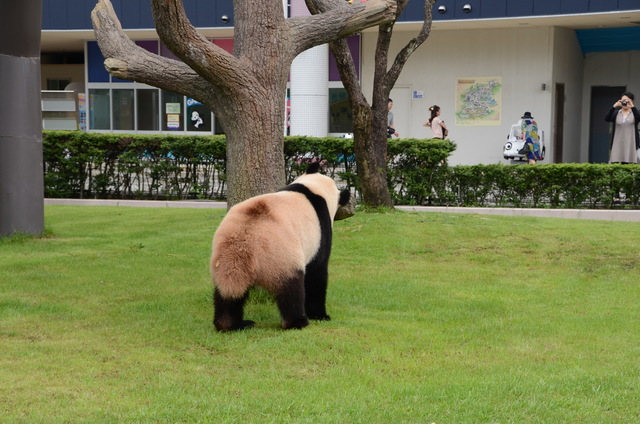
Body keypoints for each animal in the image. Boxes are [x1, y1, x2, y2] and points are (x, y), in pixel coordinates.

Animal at [210, 162, 350, 332]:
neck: (315, 190)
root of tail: (245, 241)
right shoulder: (319, 234)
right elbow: (316, 273)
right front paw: (320, 315)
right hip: (280, 255)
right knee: (291, 289)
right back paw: (298, 322)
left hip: (224, 257)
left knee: (227, 292)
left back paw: (233, 324)